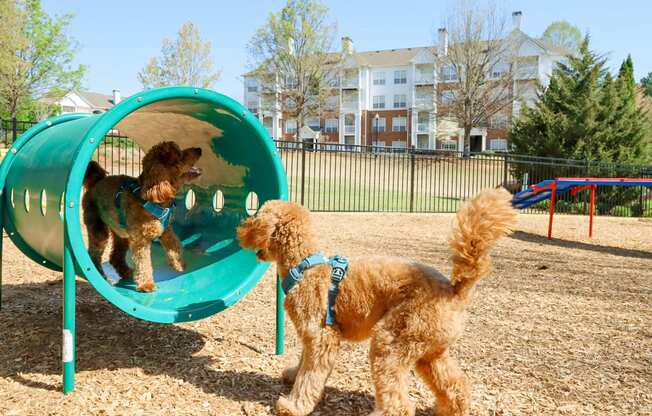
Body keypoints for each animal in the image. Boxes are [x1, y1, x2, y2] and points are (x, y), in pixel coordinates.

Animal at [83, 141, 202, 290]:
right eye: (180, 154)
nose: (199, 149)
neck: (154, 199)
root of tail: (96, 182)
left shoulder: (166, 230)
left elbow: (175, 246)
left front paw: (178, 265)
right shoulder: (141, 240)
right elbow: (143, 262)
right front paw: (146, 284)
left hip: (121, 234)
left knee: (115, 256)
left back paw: (126, 272)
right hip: (98, 229)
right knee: (93, 254)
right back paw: (101, 276)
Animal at [237, 188, 516, 416]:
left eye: (256, 216)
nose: (240, 227)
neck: (304, 265)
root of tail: (455, 290)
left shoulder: (322, 336)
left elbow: (311, 375)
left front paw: (294, 406)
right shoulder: (311, 335)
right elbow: (304, 362)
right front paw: (293, 375)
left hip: (391, 342)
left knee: (400, 405)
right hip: (430, 351)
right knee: (456, 385)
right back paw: (448, 409)